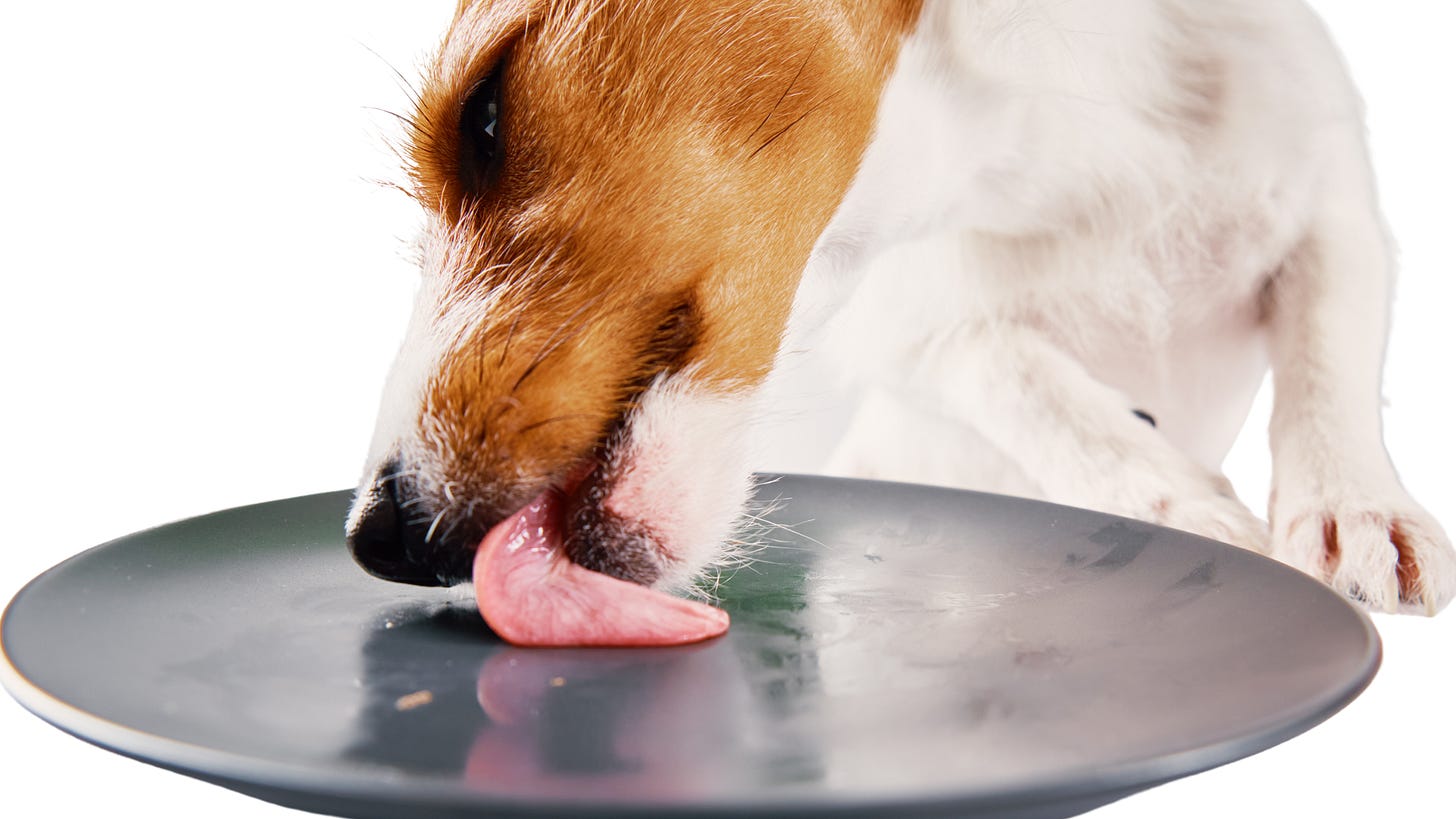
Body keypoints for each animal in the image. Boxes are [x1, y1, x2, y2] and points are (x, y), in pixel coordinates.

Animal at [343, 0, 1456, 612]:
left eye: (483, 116)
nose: (375, 539)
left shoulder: (1334, 208)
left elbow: (1327, 363)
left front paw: (1358, 512)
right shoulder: (917, 324)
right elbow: (1030, 385)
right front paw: (1185, 504)